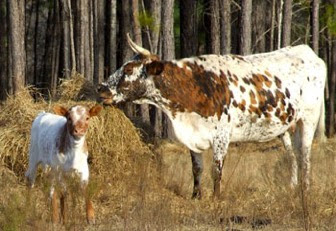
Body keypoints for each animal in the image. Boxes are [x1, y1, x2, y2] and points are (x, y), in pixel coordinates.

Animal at [97, 33, 326, 199]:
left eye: (128, 69)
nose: (101, 88)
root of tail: (307, 50)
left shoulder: (221, 136)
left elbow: (216, 170)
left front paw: (216, 199)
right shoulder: (192, 137)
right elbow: (197, 169)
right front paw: (196, 196)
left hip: (309, 119)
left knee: (305, 154)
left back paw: (305, 190)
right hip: (286, 126)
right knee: (292, 155)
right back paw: (292, 187)